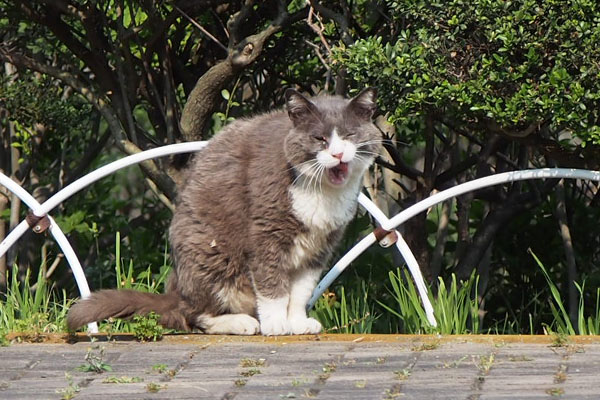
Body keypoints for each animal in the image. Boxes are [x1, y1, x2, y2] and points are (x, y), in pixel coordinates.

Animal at [68, 87, 382, 334]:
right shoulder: (266, 231)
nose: (338, 154)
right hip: (208, 256)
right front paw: (276, 325)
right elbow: (272, 284)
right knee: (190, 315)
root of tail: (177, 290)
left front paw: (297, 323)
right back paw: (241, 323)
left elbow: (301, 289)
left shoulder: (320, 245)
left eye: (350, 135)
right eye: (319, 139)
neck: (322, 192)